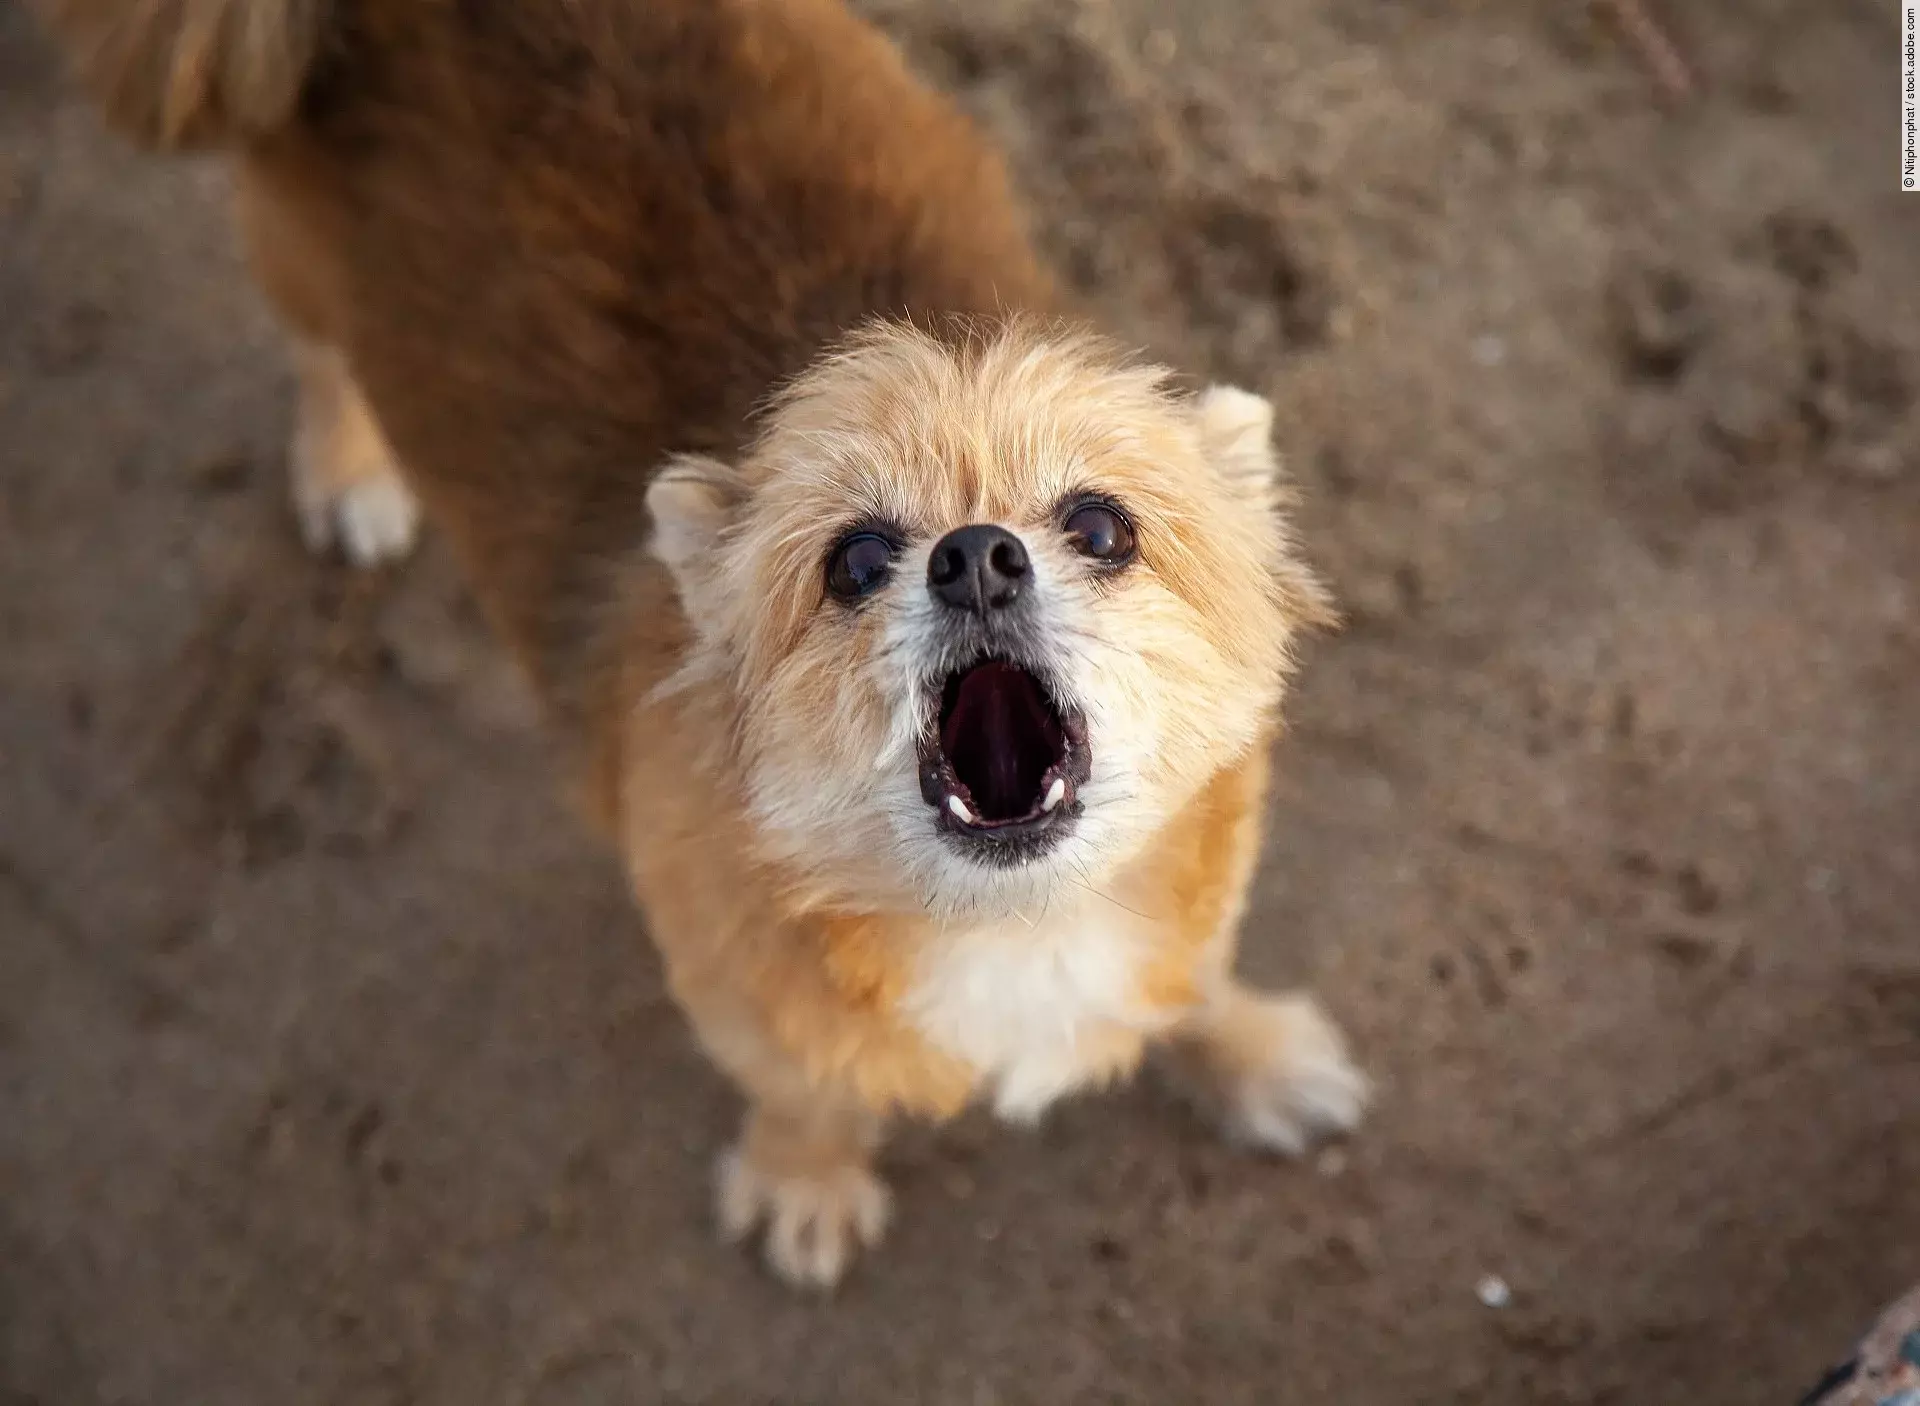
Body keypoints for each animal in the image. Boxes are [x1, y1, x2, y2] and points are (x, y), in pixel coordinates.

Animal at [35, 0, 1369, 1289]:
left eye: (1101, 525)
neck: (1015, 923)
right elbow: (800, 1092)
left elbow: (1198, 977)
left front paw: (1255, 1053)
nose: (978, 555)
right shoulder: (742, 1005)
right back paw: (348, 473)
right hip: (297, 249)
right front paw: (805, 1181)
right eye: (854, 560)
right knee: (317, 356)